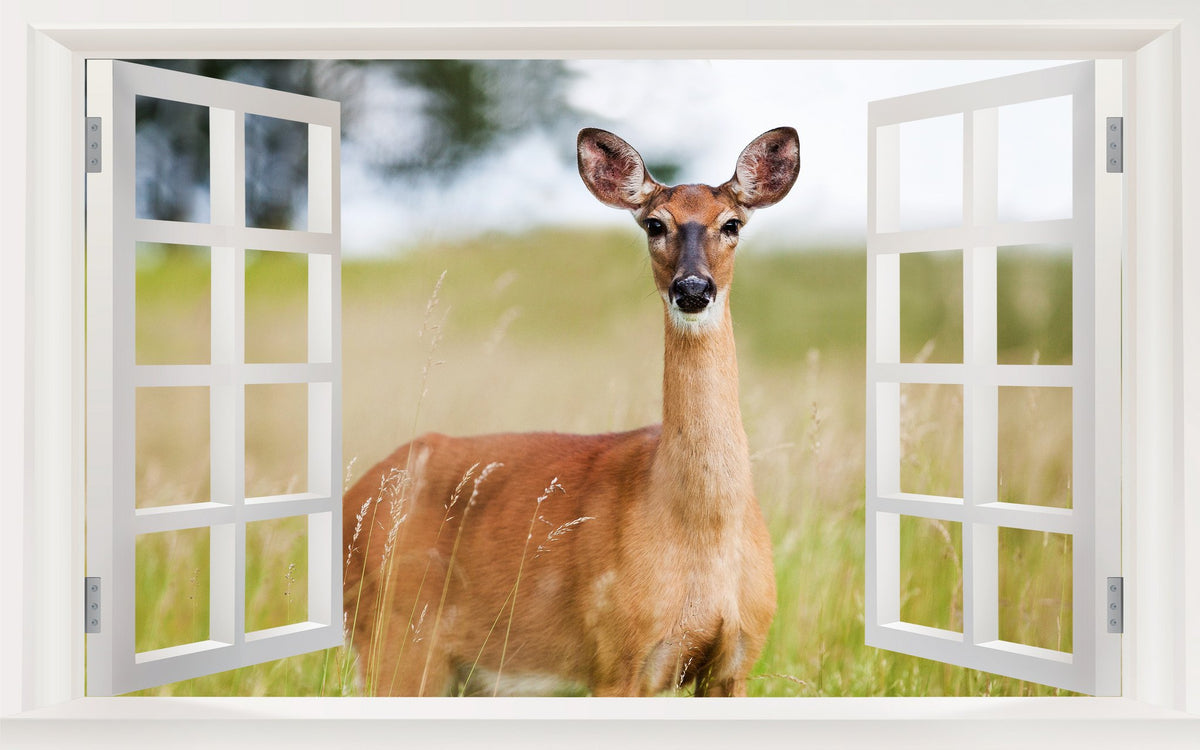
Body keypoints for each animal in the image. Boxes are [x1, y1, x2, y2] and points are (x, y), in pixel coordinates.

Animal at [342, 126, 800, 697]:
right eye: (655, 223)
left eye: (731, 223)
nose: (692, 288)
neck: (702, 531)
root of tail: (352, 498)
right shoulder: (617, 657)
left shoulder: (737, 659)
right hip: (394, 641)